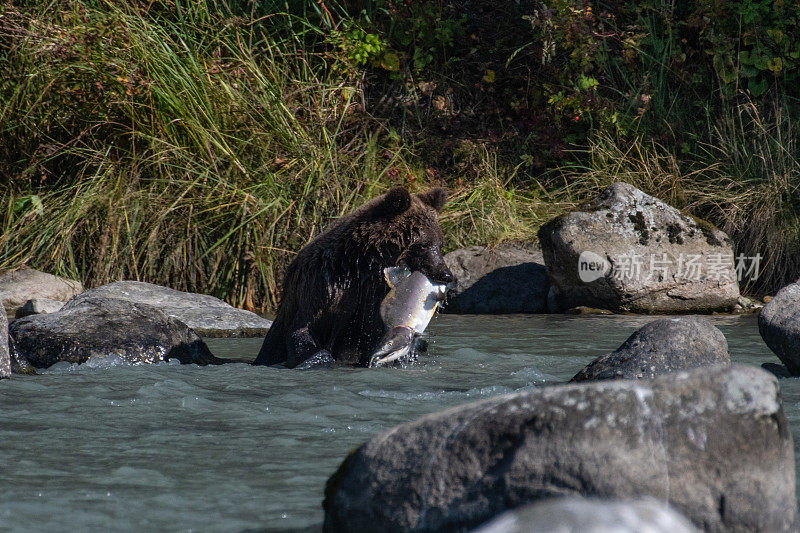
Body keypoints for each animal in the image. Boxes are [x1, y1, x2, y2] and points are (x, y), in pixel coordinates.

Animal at [256, 186, 456, 366]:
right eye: (422, 245)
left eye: (440, 244)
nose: (446, 274)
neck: (363, 265)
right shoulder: (322, 289)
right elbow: (303, 331)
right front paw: (319, 358)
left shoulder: (371, 303)